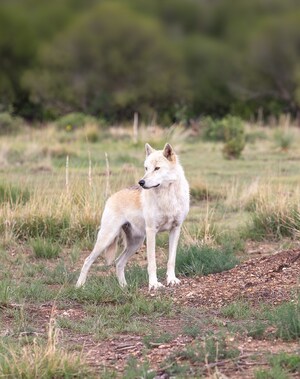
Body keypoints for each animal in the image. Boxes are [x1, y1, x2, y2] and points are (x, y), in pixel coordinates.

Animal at [76, 143, 191, 290]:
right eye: (146, 168)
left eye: (157, 168)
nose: (141, 182)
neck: (167, 196)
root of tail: (111, 197)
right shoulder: (151, 231)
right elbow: (152, 263)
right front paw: (154, 284)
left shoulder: (176, 229)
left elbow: (171, 260)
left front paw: (172, 280)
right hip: (107, 239)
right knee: (87, 260)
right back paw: (79, 286)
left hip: (135, 243)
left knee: (118, 262)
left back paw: (124, 286)